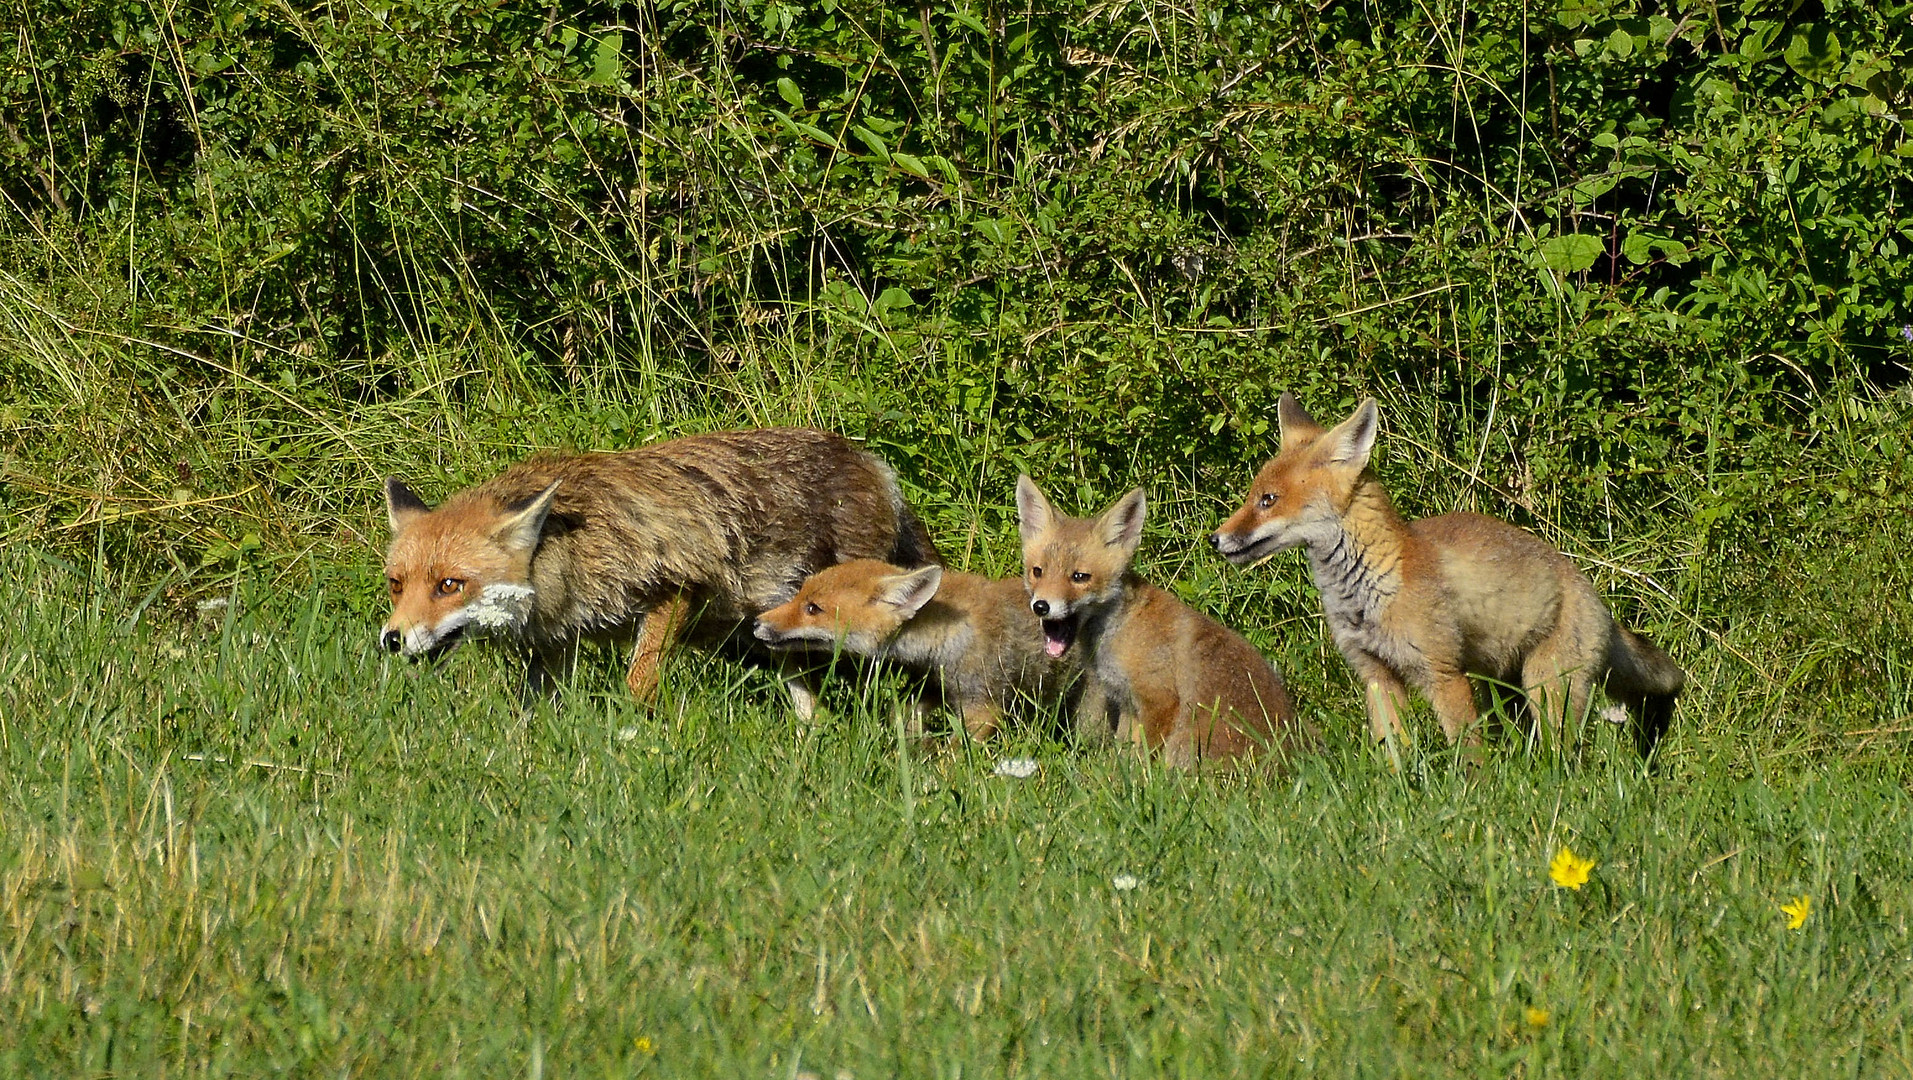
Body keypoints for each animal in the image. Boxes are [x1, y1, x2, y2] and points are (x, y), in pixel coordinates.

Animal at [374, 426, 941, 711]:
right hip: (771, 646)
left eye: (449, 585)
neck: (574, 549)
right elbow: (531, 713)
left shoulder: (673, 592)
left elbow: (637, 684)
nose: (392, 639)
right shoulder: (554, 644)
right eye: (396, 585)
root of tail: (873, 463)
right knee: (812, 712)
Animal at [1216, 395, 1683, 756]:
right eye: (1253, 496)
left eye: (1267, 500)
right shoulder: (1377, 676)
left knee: (1564, 753)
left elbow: (1468, 754)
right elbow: (1394, 753)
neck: (1371, 590)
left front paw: (1472, 797)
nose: (1215, 539)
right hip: (1505, 691)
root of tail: (1592, 592)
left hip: (1547, 690)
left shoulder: (1443, 674)